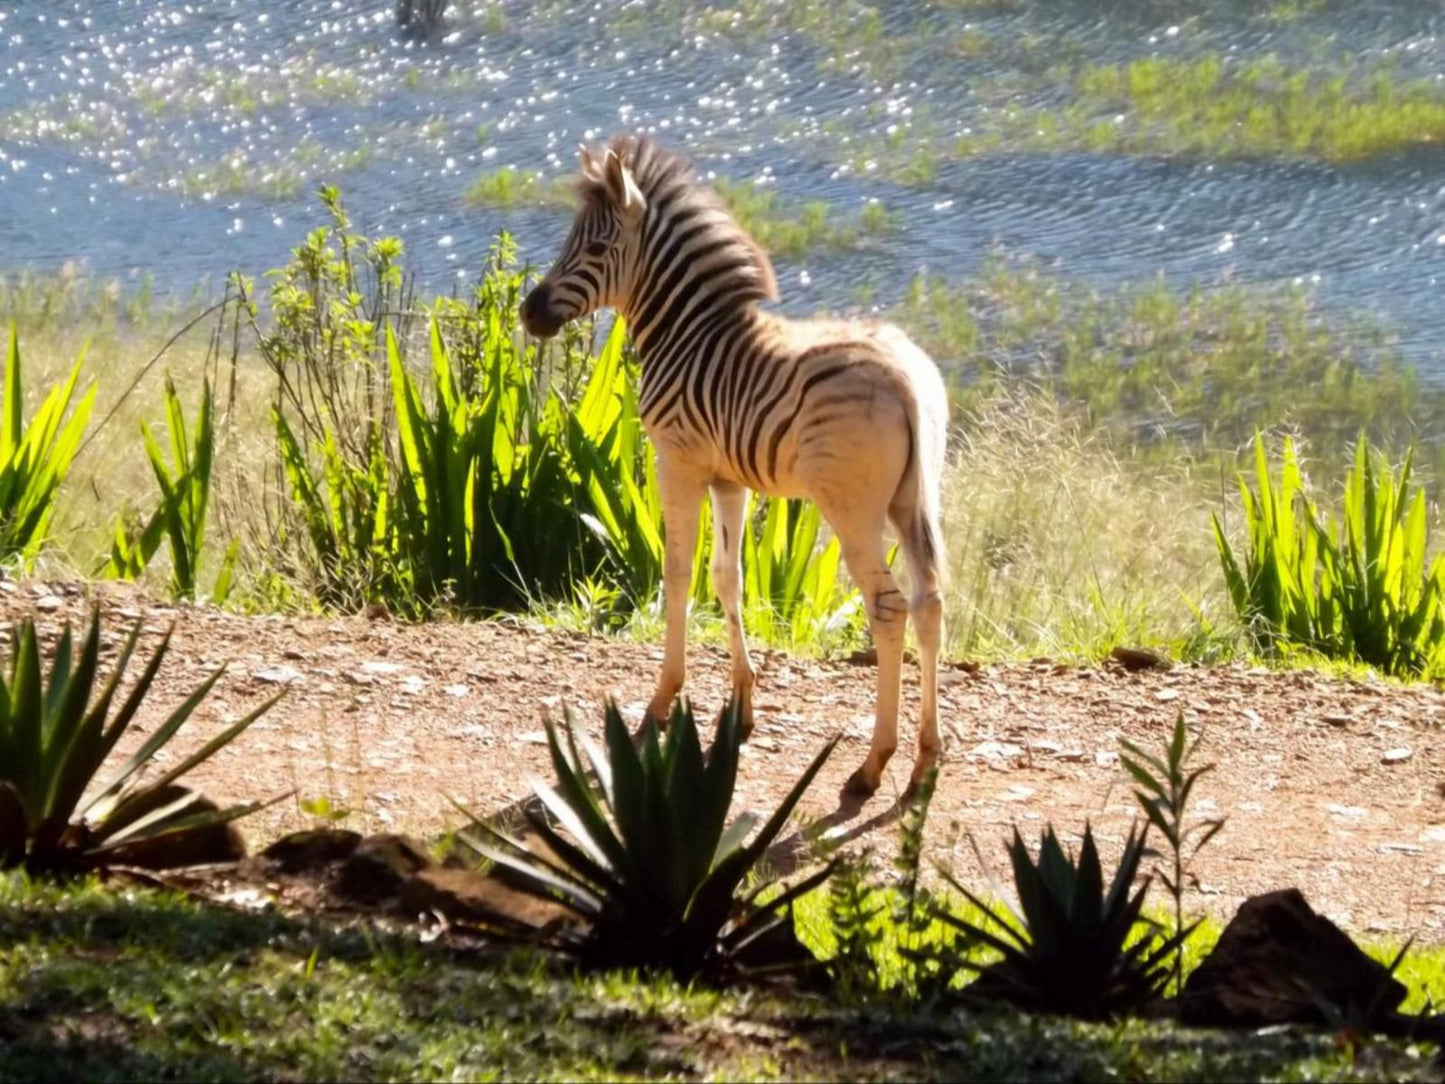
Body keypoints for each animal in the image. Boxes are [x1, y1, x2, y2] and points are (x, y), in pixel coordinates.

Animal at [520, 135, 947, 797]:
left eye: (592, 248)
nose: (527, 313)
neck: (688, 334)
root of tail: (903, 372)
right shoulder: (729, 478)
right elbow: (728, 577)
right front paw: (741, 708)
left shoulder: (677, 460)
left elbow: (676, 575)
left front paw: (662, 703)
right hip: (912, 498)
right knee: (929, 602)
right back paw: (926, 757)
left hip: (851, 508)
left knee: (890, 608)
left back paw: (872, 764)